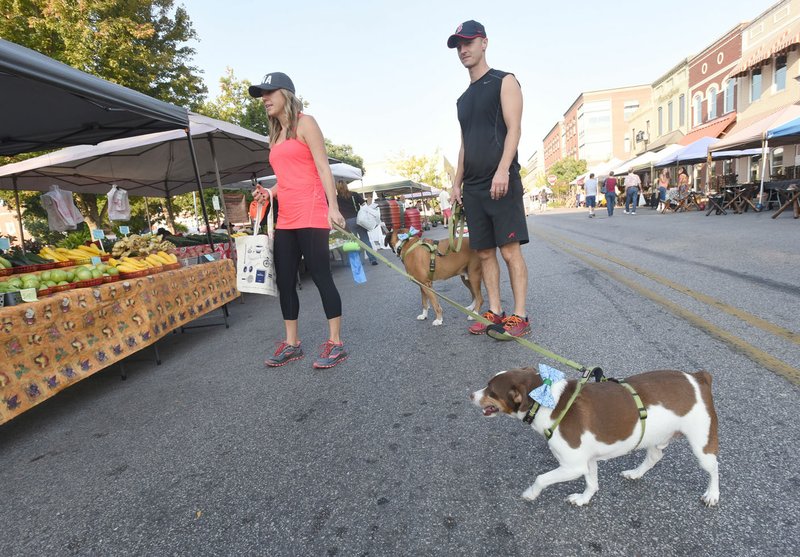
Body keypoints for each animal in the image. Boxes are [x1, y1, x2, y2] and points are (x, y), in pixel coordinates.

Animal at [472, 368, 720, 506]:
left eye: (491, 391)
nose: (471, 395)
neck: (546, 401)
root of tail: (698, 378)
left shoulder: (572, 466)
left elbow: (541, 478)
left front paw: (530, 494)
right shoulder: (586, 461)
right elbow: (592, 483)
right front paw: (584, 499)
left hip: (702, 444)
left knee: (714, 468)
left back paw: (712, 494)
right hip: (656, 436)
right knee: (654, 457)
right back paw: (635, 473)